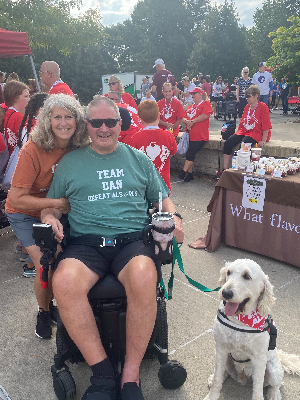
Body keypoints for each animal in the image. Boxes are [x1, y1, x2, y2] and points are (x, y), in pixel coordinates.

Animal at [204, 260, 300, 400]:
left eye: (247, 276)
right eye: (228, 272)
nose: (225, 293)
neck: (240, 320)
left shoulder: (259, 360)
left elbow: (258, 389)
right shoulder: (221, 349)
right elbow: (217, 378)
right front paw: (212, 395)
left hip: (273, 368)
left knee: (277, 384)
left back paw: (274, 394)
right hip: (226, 358)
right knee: (223, 372)